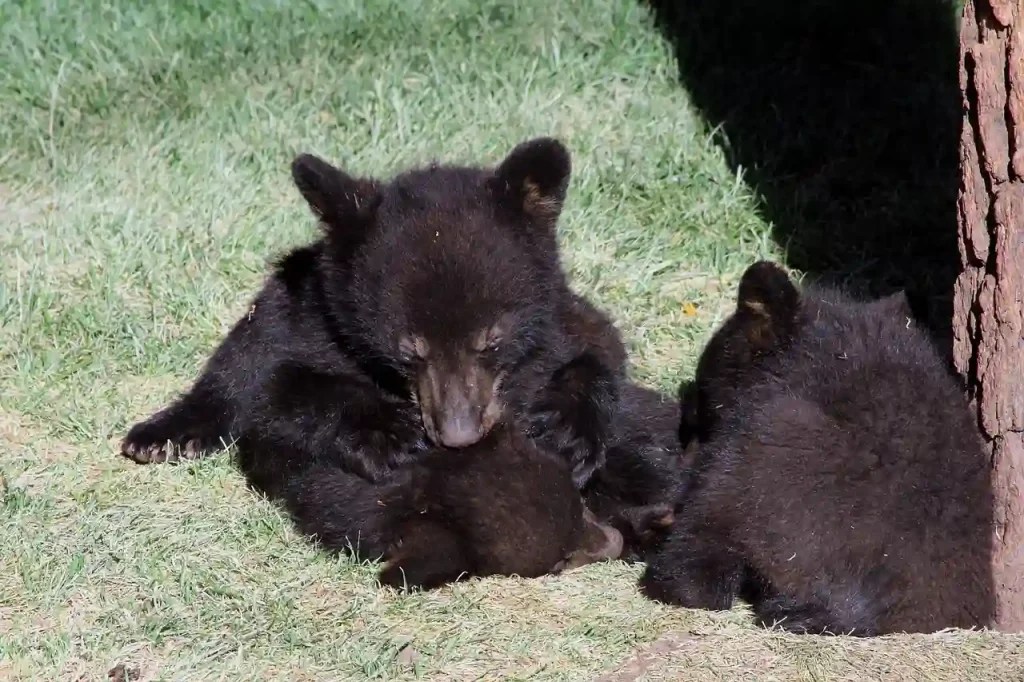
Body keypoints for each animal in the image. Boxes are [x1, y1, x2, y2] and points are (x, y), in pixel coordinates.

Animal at [119, 138, 679, 555]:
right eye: (411, 349)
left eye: (491, 341)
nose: (458, 435)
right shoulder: (301, 323)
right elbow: (272, 390)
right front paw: (387, 430)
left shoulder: (558, 323)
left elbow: (600, 345)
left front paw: (568, 426)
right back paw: (163, 435)